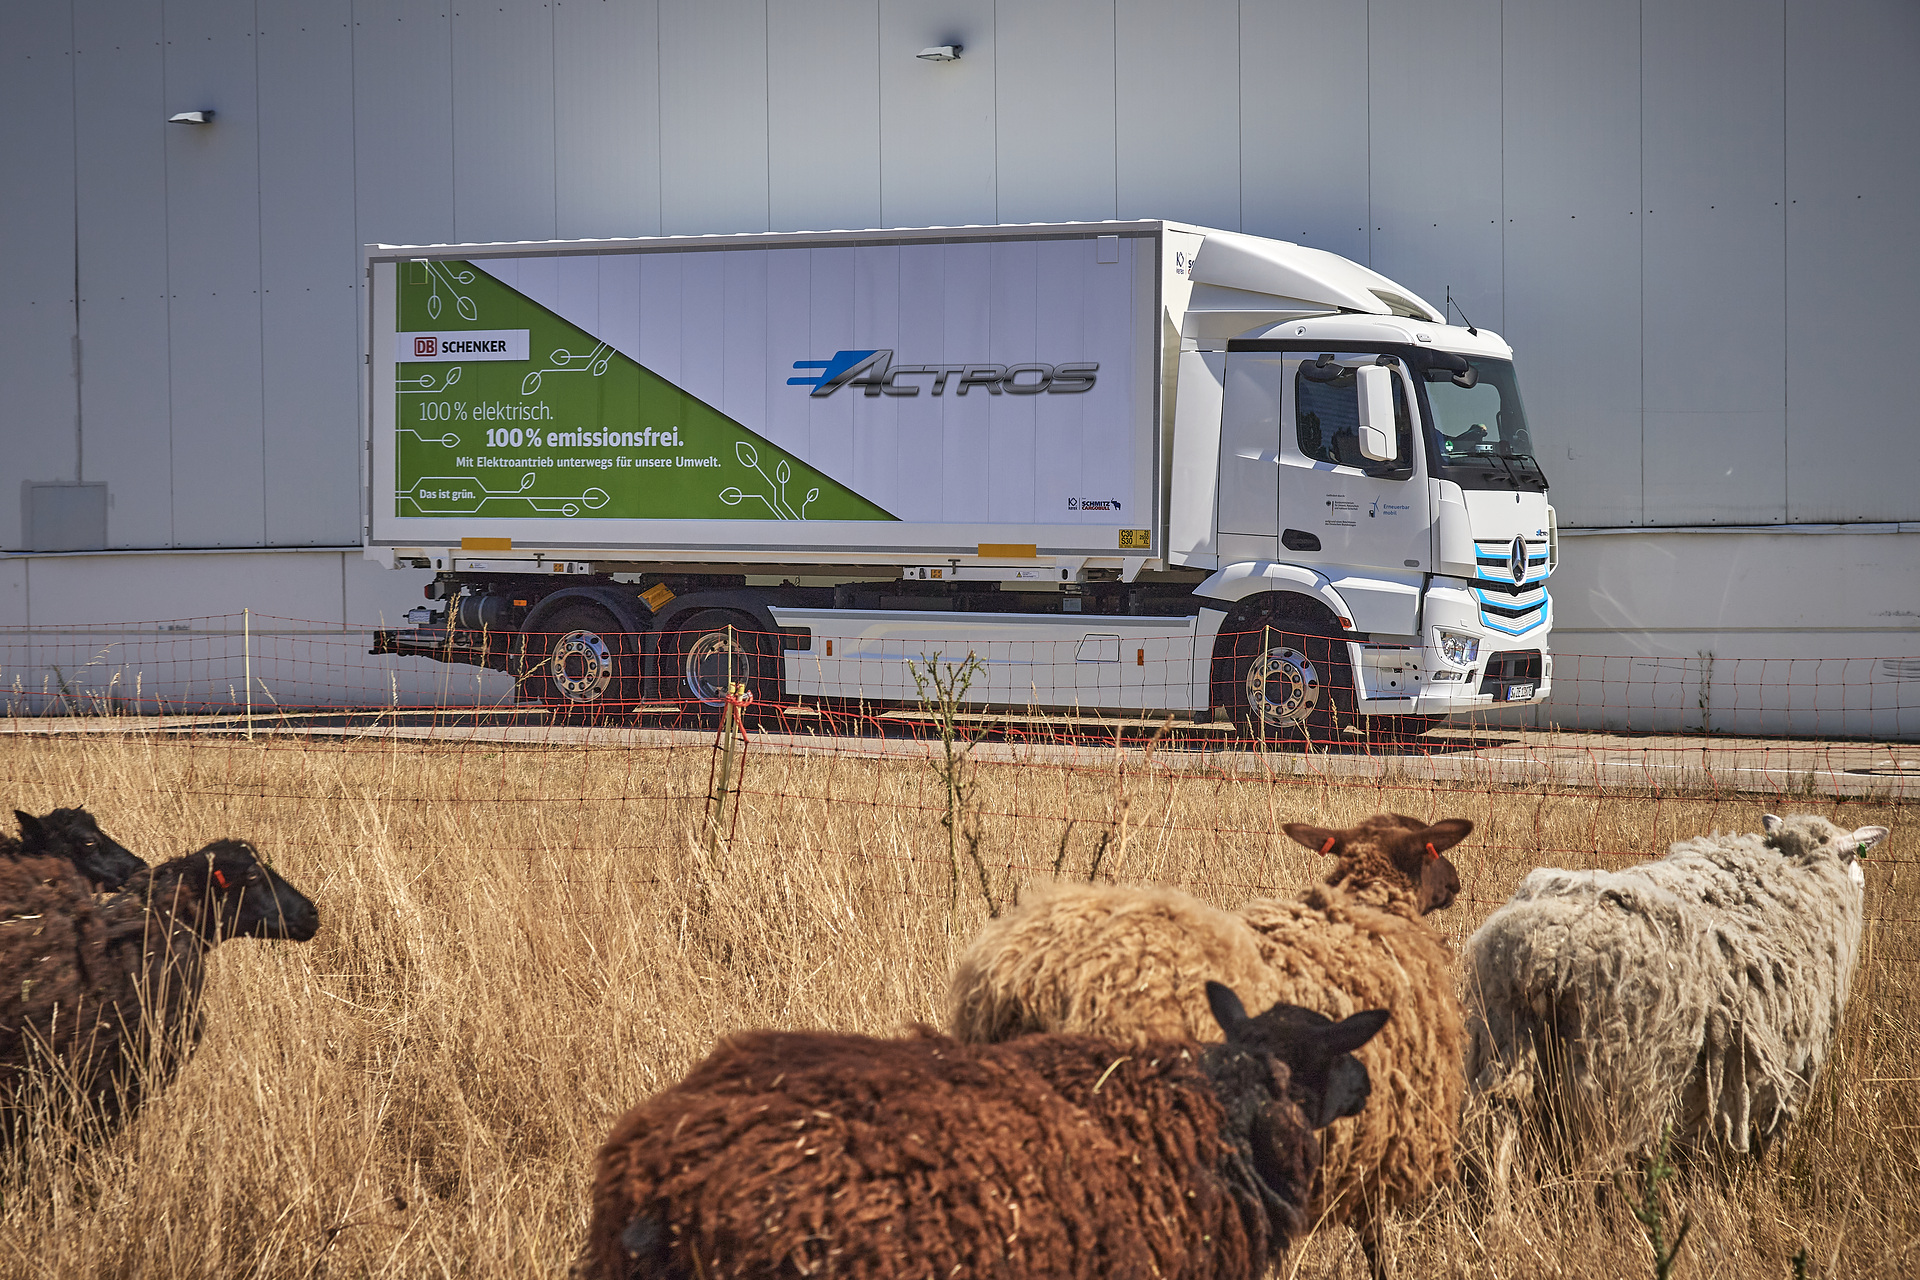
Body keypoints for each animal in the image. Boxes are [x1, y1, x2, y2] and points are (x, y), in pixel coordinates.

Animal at [944, 817, 1466, 1274]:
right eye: (1432, 849)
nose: (1457, 885)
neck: (1367, 909)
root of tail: (1034, 978)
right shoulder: (1380, 1147)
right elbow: (1374, 1243)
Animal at [1459, 817, 1881, 1166]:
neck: (1800, 872)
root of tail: (1545, 953)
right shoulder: (1793, 1071)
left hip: (1505, 1042)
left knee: (1496, 1130)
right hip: (1613, 1081)